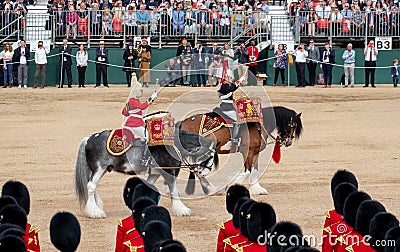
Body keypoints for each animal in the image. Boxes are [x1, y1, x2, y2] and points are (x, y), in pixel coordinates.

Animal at [75, 113, 219, 218]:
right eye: (211, 156)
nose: (204, 173)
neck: (172, 144)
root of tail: (89, 139)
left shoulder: (156, 172)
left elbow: (148, 186)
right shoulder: (169, 171)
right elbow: (173, 190)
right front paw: (182, 210)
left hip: (102, 169)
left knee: (91, 185)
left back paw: (97, 206)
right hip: (99, 168)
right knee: (91, 186)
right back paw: (95, 212)